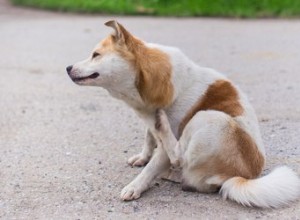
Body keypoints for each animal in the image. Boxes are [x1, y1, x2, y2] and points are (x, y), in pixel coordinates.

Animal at [67, 19, 300, 207]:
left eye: (95, 55)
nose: (68, 68)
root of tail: (240, 177)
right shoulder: (148, 120)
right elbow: (148, 138)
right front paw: (142, 157)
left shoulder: (163, 144)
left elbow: (152, 165)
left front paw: (135, 186)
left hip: (207, 116)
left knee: (179, 157)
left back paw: (165, 137)